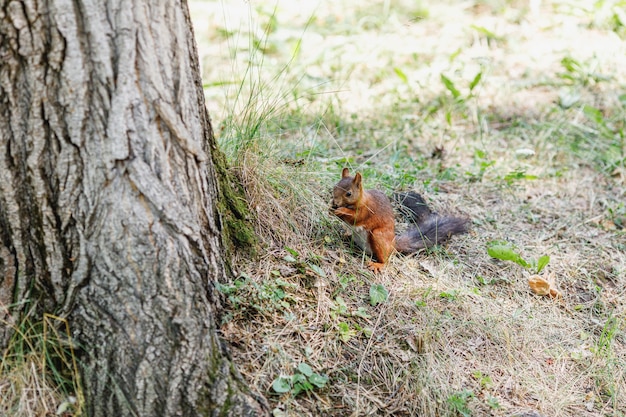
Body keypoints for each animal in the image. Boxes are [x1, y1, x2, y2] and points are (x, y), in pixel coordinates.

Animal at [330, 167, 466, 272]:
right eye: (334, 187)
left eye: (349, 193)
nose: (335, 203)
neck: (361, 200)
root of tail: (393, 244)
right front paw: (331, 208)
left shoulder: (367, 210)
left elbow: (356, 217)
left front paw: (342, 210)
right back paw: (346, 236)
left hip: (379, 236)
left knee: (386, 259)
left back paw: (378, 265)